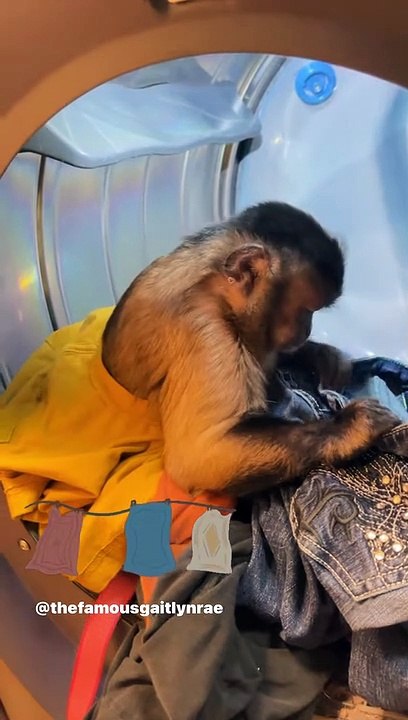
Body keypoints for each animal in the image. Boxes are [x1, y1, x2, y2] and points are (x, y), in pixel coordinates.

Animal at [101, 201, 400, 497]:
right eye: (306, 311)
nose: (307, 330)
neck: (212, 282)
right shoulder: (206, 329)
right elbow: (199, 456)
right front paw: (351, 426)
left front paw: (324, 357)